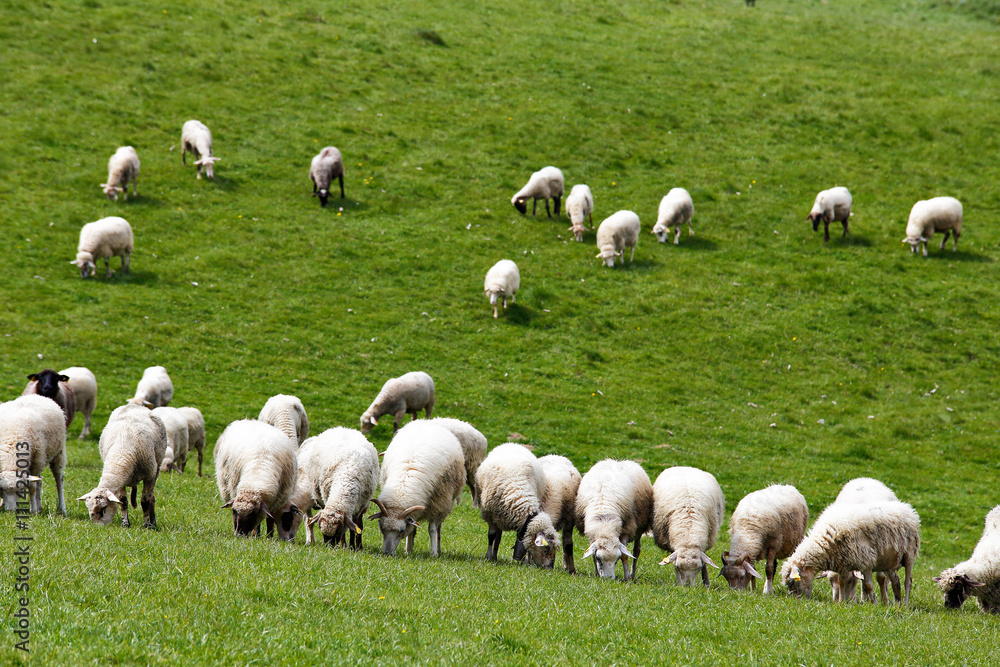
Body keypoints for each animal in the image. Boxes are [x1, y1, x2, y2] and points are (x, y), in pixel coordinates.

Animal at [370, 420, 465, 556]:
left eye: (401, 530)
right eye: (382, 527)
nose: (387, 553)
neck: (403, 490)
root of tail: (425, 422)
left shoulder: (437, 503)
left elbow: (432, 529)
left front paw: (433, 553)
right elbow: (413, 527)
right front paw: (408, 550)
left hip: (446, 500)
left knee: (438, 527)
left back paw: (438, 548)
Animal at [780, 500, 921, 604]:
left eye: (791, 582)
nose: (798, 600)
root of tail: (909, 509)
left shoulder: (866, 560)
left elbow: (868, 585)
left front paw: (874, 604)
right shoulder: (843, 562)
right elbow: (841, 582)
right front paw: (841, 602)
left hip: (909, 554)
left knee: (908, 581)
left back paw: (905, 604)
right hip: (888, 561)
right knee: (894, 580)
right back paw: (896, 603)